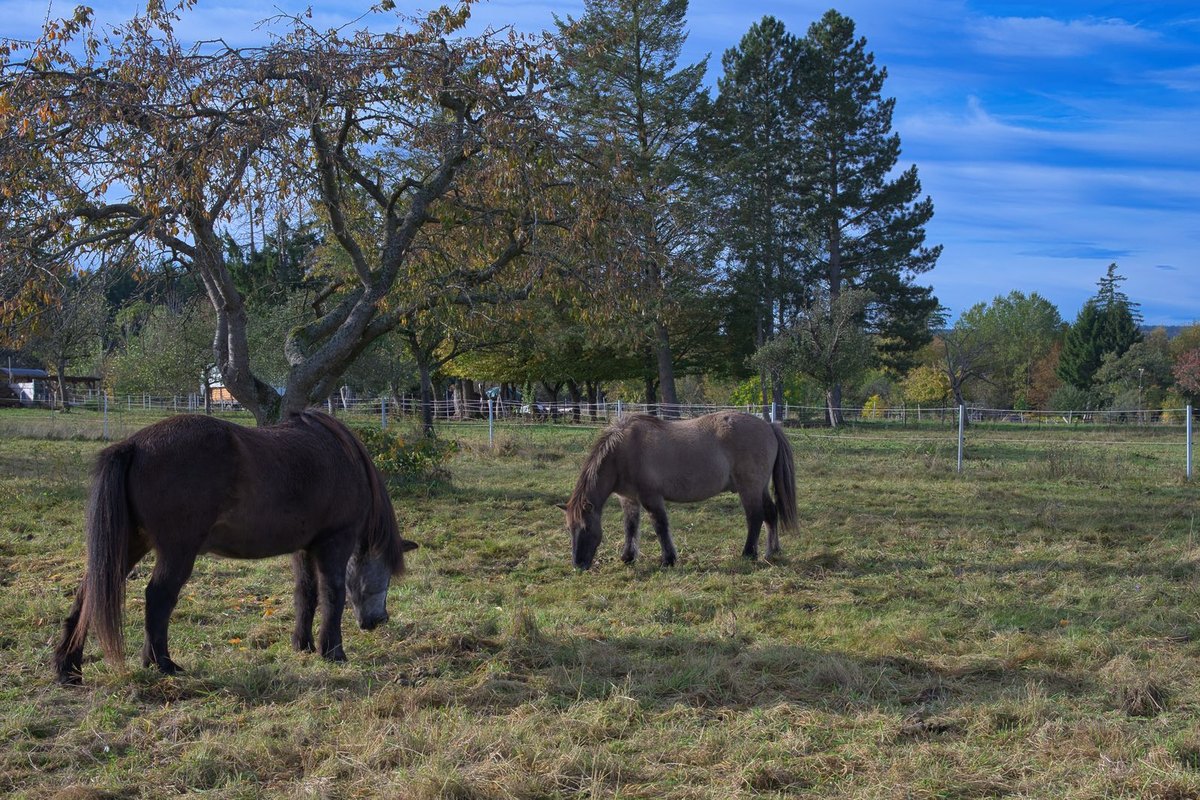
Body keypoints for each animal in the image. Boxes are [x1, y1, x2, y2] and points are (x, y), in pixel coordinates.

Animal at [53, 411, 418, 685]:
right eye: (386, 576)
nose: (378, 621)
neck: (341, 455)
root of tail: (133, 446)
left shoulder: (304, 548)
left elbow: (306, 594)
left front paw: (303, 644)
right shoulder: (334, 542)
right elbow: (334, 594)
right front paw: (333, 651)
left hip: (130, 545)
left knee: (90, 592)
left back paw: (68, 668)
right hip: (176, 551)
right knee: (158, 598)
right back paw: (163, 663)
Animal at [558, 411, 798, 570]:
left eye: (586, 527)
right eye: (570, 528)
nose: (578, 565)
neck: (623, 452)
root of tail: (768, 425)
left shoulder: (651, 498)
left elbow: (660, 527)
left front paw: (668, 559)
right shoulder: (629, 500)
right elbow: (630, 527)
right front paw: (628, 557)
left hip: (749, 488)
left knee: (755, 517)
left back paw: (748, 553)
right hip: (760, 488)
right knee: (771, 514)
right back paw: (772, 550)